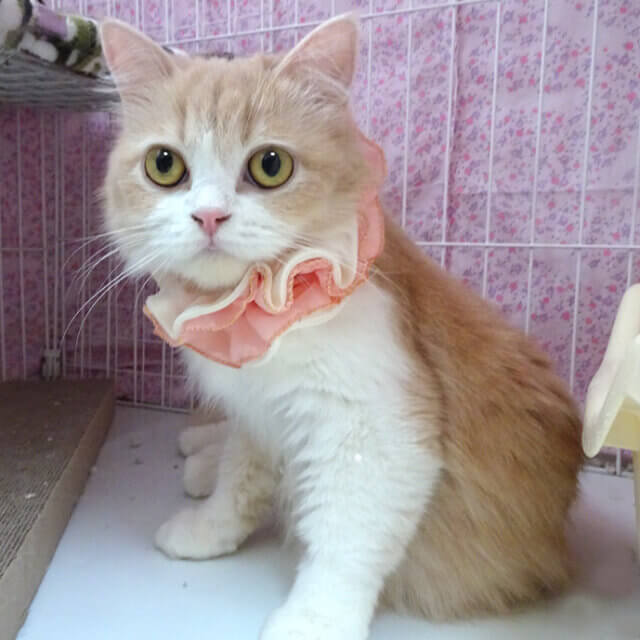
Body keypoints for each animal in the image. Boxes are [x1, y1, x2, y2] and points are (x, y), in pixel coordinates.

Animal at [100, 14, 583, 640]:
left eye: (270, 165)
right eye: (165, 165)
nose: (208, 216)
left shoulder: (375, 429)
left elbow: (345, 539)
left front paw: (313, 618)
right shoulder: (258, 413)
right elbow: (239, 484)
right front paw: (208, 529)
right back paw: (202, 454)